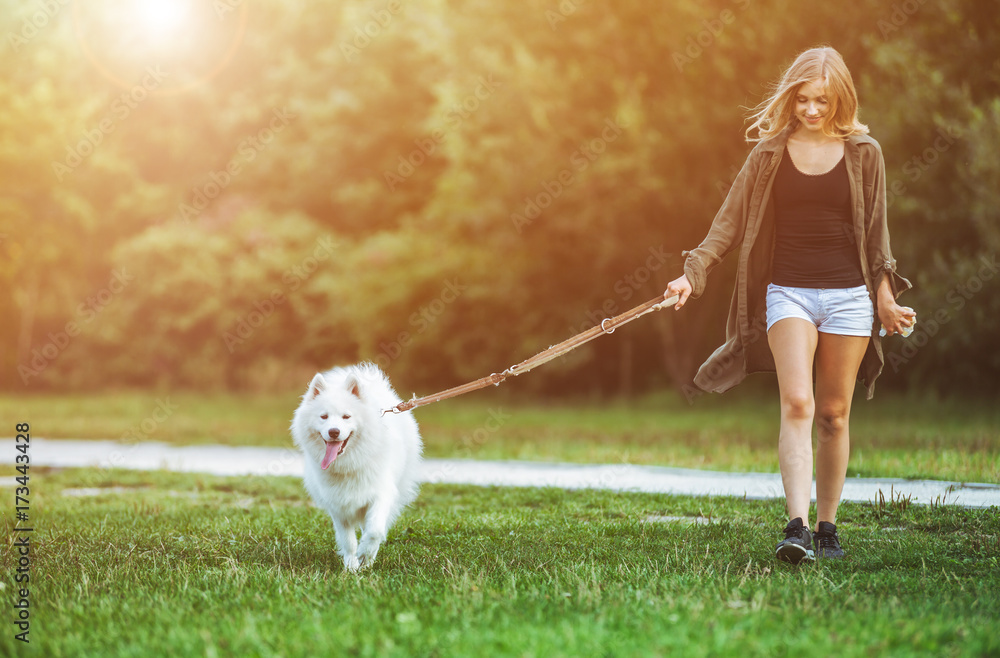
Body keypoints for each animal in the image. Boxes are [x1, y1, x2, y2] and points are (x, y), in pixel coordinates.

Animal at [292, 362, 426, 572]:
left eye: (346, 416)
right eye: (323, 417)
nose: (334, 431)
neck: (349, 464)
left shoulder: (380, 494)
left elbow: (375, 530)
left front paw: (365, 555)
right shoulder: (338, 505)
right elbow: (348, 541)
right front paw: (350, 566)